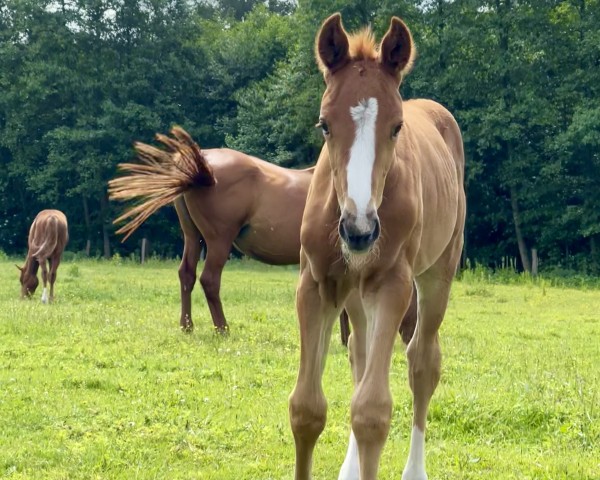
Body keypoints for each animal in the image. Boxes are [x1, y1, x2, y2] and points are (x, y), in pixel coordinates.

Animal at [109, 129, 418, 344]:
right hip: (219, 241)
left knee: (186, 274)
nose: (407, 337)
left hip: (192, 236)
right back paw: (223, 329)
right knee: (209, 280)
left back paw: (187, 326)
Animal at [288, 15, 466, 480]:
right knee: (361, 355)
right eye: (324, 124)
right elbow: (306, 408)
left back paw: (415, 470)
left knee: (422, 362)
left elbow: (371, 412)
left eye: (397, 126)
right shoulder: (316, 284)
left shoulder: (391, 284)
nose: (360, 230)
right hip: (354, 293)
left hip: (437, 273)